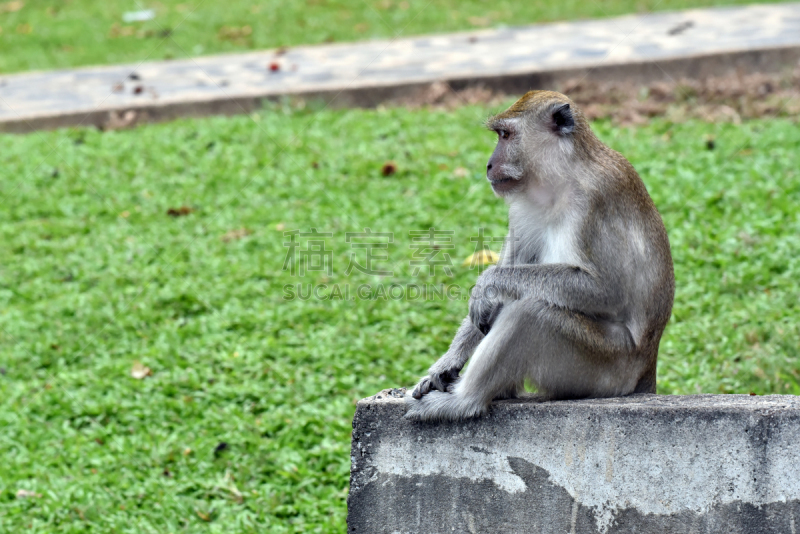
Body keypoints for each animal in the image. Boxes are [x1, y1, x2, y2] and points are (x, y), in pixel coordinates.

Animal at [406, 90, 676, 422]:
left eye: (506, 135)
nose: (489, 165)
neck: (560, 178)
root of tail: (646, 369)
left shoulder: (595, 199)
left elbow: (608, 290)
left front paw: (485, 284)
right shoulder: (521, 208)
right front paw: (447, 363)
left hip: (606, 366)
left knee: (531, 313)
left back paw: (464, 401)